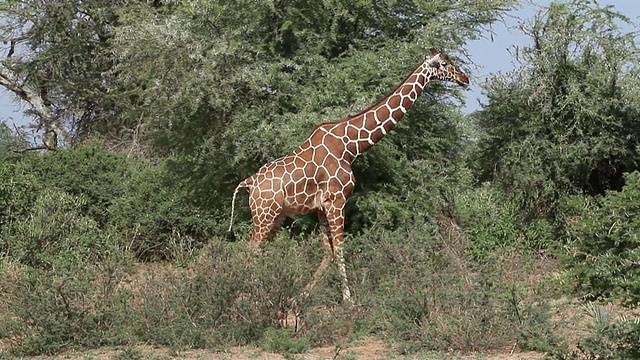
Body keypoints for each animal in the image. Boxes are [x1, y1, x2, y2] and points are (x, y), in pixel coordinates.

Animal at [228, 46, 468, 302]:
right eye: (444, 63)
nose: (464, 78)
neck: (351, 146)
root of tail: (249, 183)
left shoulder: (321, 207)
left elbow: (328, 251)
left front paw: (302, 294)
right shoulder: (338, 201)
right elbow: (341, 248)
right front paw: (348, 299)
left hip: (276, 217)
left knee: (257, 250)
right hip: (264, 215)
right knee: (250, 250)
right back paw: (250, 296)